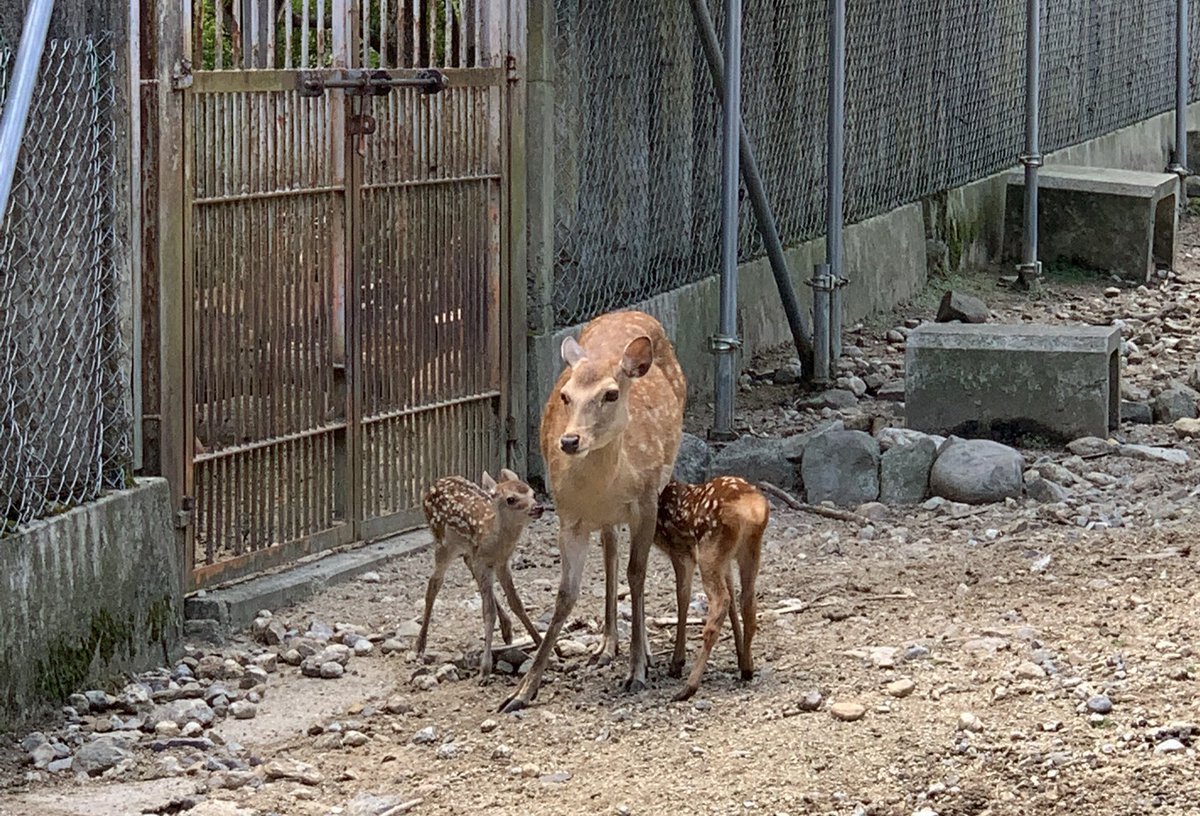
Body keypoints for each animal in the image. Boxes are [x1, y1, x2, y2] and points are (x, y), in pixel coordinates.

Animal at [416, 469, 546, 682]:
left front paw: (541, 642)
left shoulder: (501, 563)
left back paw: (507, 628)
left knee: (467, 568)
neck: (494, 541)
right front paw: (485, 670)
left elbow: (516, 603)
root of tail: (433, 486)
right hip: (443, 543)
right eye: (511, 499)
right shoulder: (484, 561)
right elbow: (487, 612)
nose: (538, 507)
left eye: (533, 493)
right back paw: (420, 645)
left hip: (468, 553)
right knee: (434, 584)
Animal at [498, 309, 687, 713]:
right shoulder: (568, 517)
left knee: (627, 561)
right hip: (603, 519)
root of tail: (632, 312)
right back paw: (606, 645)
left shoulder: (645, 501)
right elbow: (565, 595)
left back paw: (641, 652)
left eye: (611, 393)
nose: (570, 440)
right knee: (610, 545)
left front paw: (637, 671)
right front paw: (521, 692)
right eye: (566, 395)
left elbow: (638, 575)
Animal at [654, 475, 768, 701]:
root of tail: (754, 509)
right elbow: (733, 597)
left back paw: (689, 687)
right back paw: (747, 668)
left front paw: (676, 663)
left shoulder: (682, 550)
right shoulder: (725, 561)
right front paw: (740, 655)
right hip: (748, 550)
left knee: (720, 601)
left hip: (710, 547)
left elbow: (682, 596)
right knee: (747, 601)